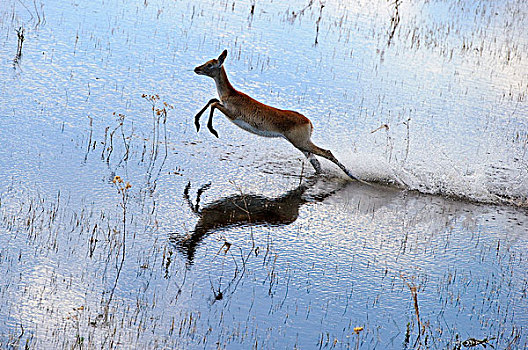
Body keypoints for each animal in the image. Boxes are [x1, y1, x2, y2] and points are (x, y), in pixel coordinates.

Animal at [194, 49, 364, 182]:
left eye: (210, 64)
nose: (196, 68)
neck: (231, 95)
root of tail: (309, 122)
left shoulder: (232, 114)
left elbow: (214, 104)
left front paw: (211, 130)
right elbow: (212, 100)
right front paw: (197, 123)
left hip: (302, 143)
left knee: (327, 153)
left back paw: (355, 177)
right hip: (302, 145)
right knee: (317, 163)